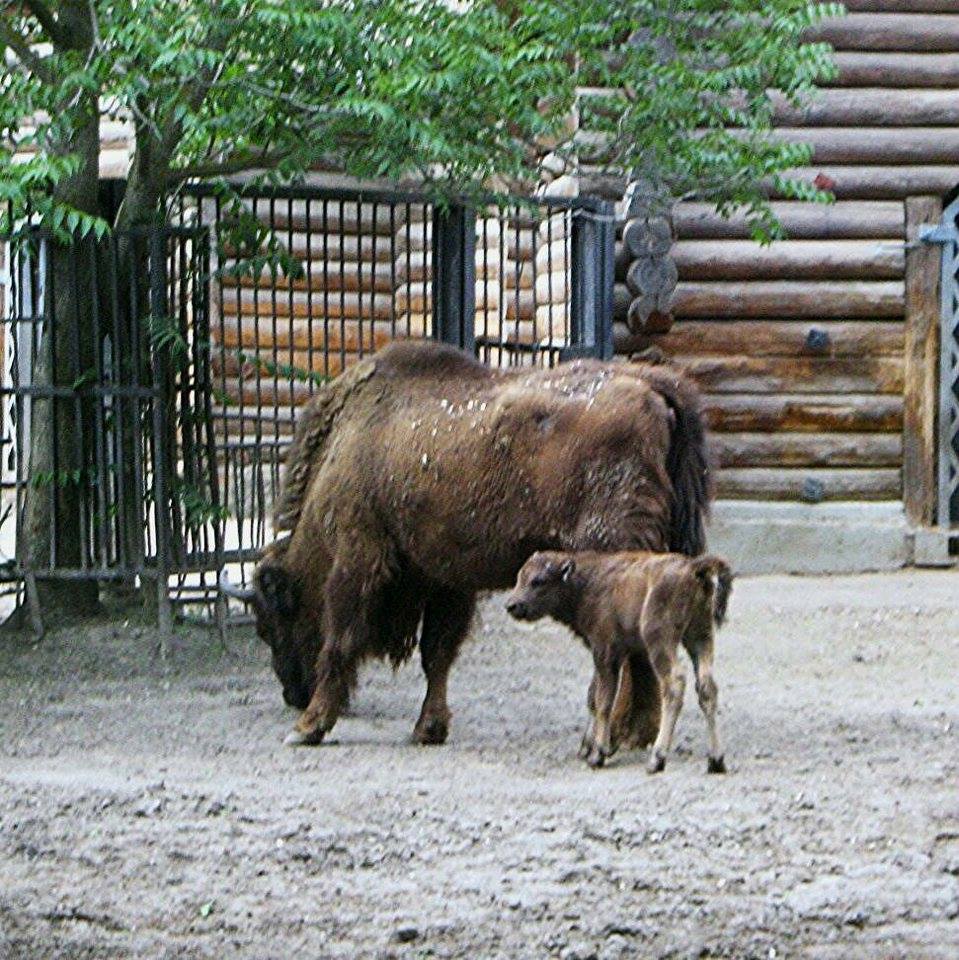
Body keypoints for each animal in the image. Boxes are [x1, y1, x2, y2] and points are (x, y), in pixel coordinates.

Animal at [249, 340, 712, 752]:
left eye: (271, 621)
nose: (293, 692)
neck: (348, 443)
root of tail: (651, 385)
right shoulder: (445, 578)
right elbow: (437, 653)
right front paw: (429, 729)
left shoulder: (357, 558)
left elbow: (340, 641)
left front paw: (307, 728)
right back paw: (633, 731)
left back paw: (623, 732)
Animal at [506, 548, 732, 772]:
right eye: (519, 577)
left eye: (538, 580)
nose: (511, 605)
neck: (585, 583)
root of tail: (692, 568)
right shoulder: (607, 654)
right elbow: (593, 697)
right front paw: (588, 748)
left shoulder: (605, 653)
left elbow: (603, 701)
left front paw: (598, 753)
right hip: (699, 637)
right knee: (706, 687)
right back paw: (716, 760)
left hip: (660, 641)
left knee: (674, 684)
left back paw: (656, 759)